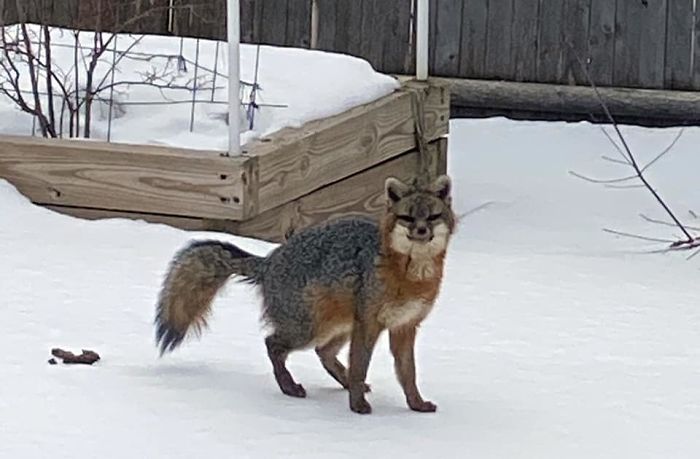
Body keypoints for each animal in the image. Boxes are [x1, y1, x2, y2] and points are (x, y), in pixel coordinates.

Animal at [154, 174, 456, 414]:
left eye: (432, 217)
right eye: (407, 218)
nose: (421, 230)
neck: (412, 276)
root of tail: (269, 260)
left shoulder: (405, 326)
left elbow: (408, 374)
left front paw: (416, 404)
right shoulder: (369, 324)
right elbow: (361, 367)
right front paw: (357, 406)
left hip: (337, 327)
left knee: (323, 353)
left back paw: (341, 382)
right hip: (310, 330)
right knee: (272, 343)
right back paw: (289, 386)